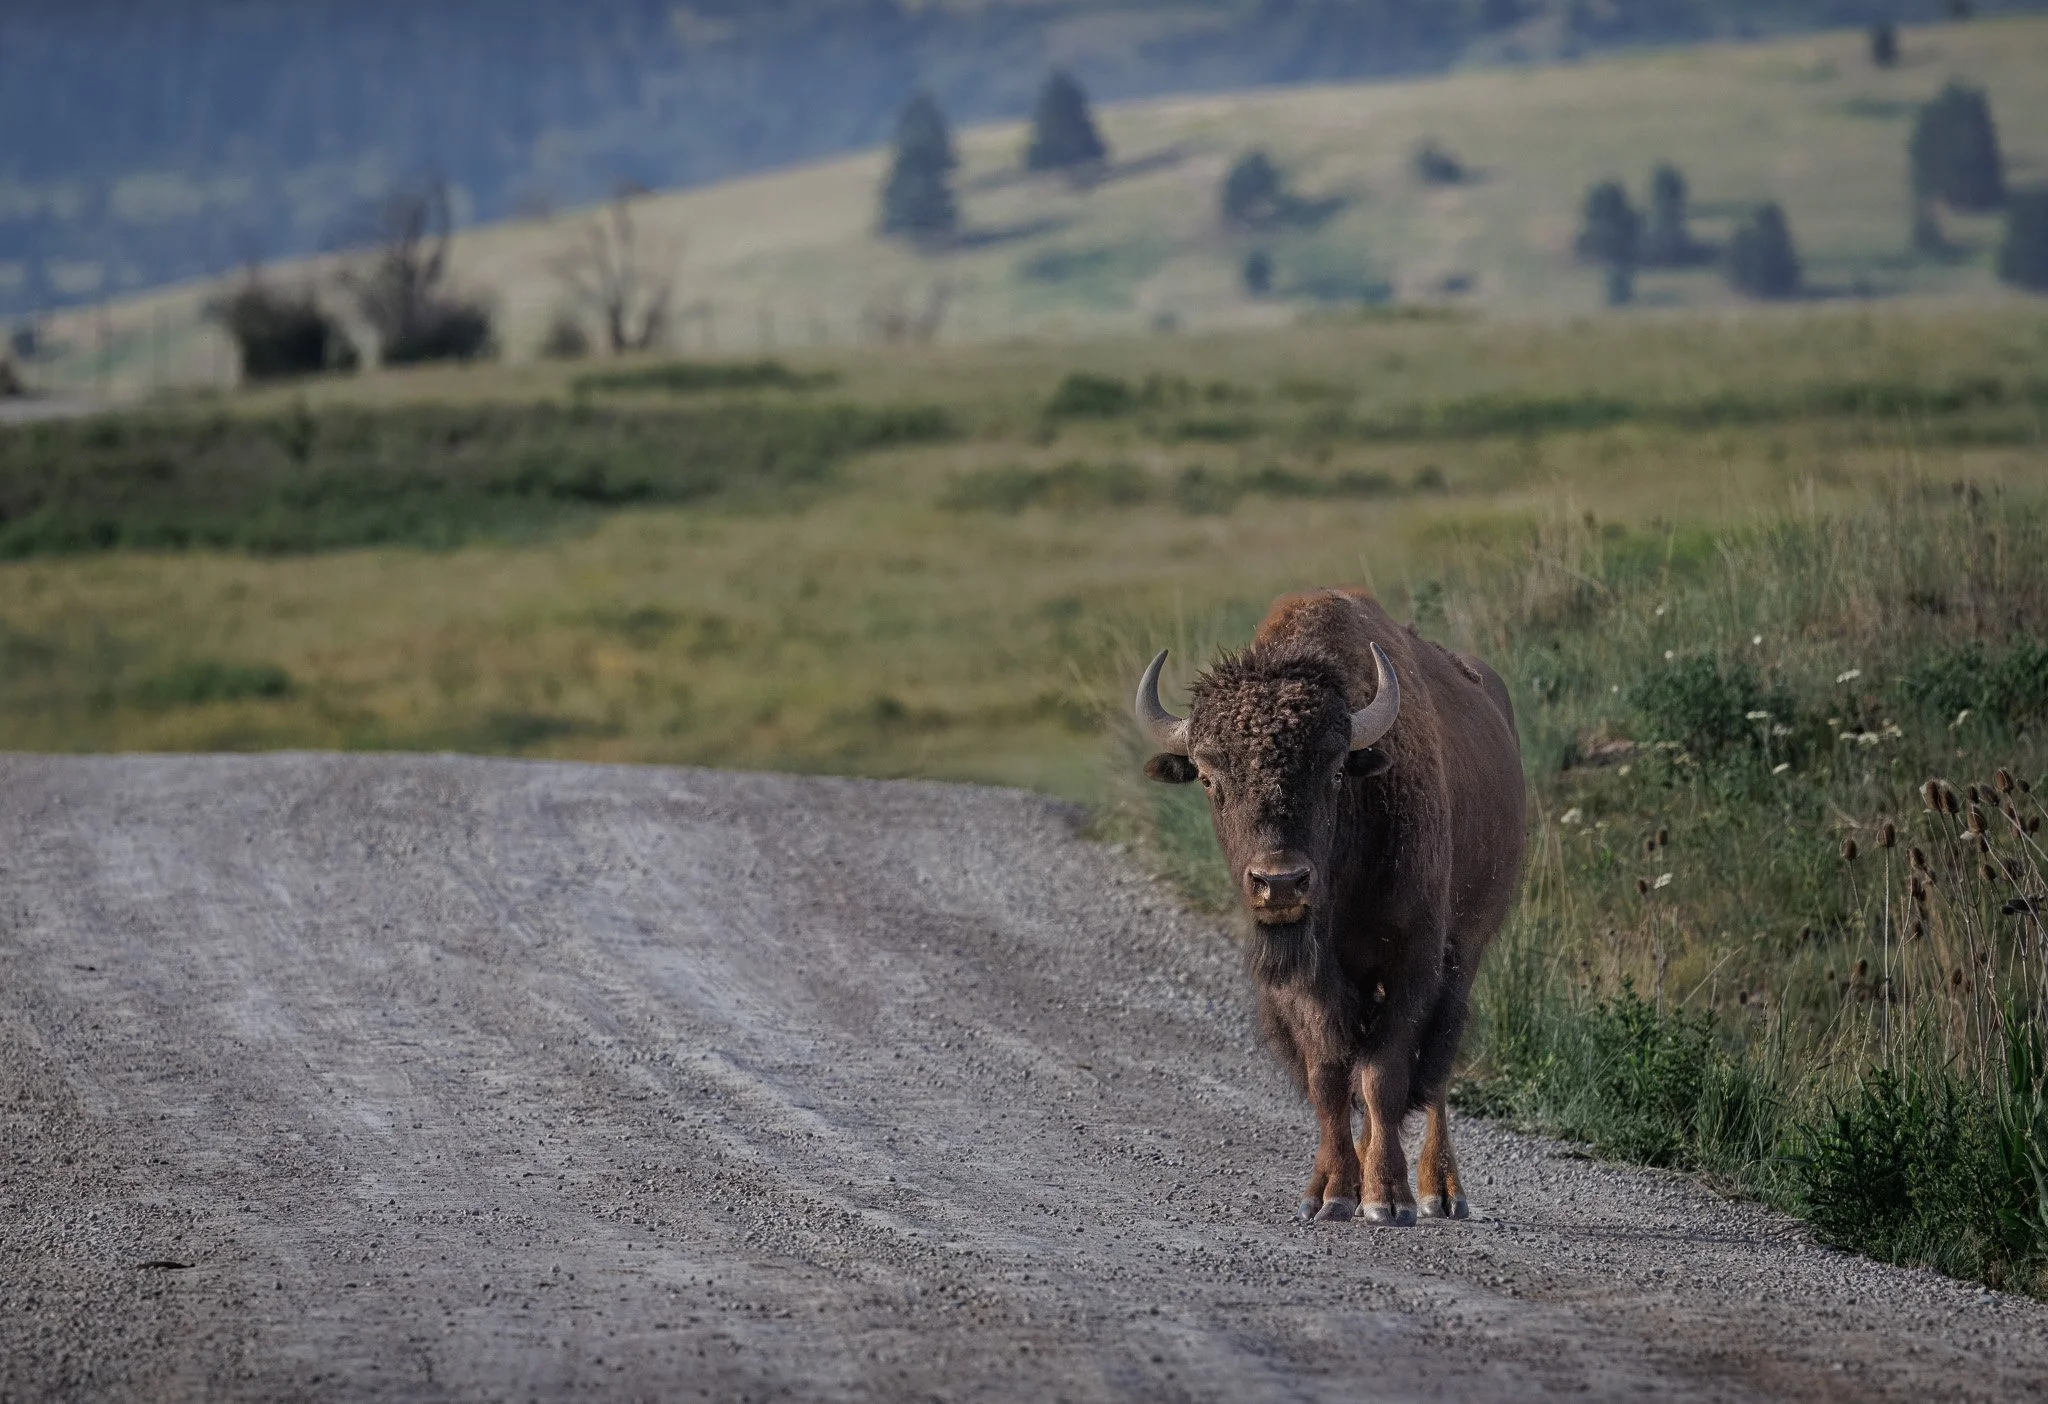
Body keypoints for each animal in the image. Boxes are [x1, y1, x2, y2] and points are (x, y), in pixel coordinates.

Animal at [1136, 587, 1525, 1225]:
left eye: (1336, 771)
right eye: (1211, 780)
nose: (1281, 883)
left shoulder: (1412, 961)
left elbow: (1385, 1076)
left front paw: (1387, 1198)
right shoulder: (1312, 981)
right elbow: (1329, 1077)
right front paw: (1333, 1192)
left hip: (1465, 954)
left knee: (1436, 1072)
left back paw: (1442, 1191)